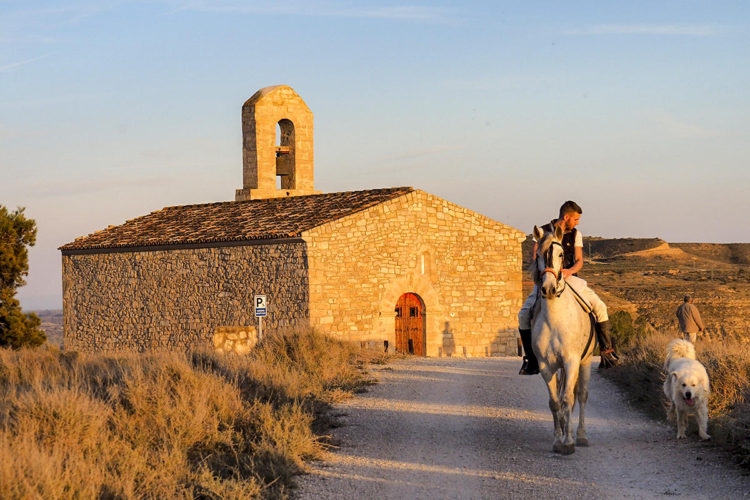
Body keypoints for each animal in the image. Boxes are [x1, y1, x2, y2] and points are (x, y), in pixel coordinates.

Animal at [532, 225, 596, 456]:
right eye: (538, 255)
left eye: (561, 254)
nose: (549, 289)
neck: (555, 320)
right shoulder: (546, 366)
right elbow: (554, 402)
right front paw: (558, 440)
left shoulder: (571, 361)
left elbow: (568, 399)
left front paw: (568, 442)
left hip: (585, 362)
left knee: (582, 395)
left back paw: (582, 436)